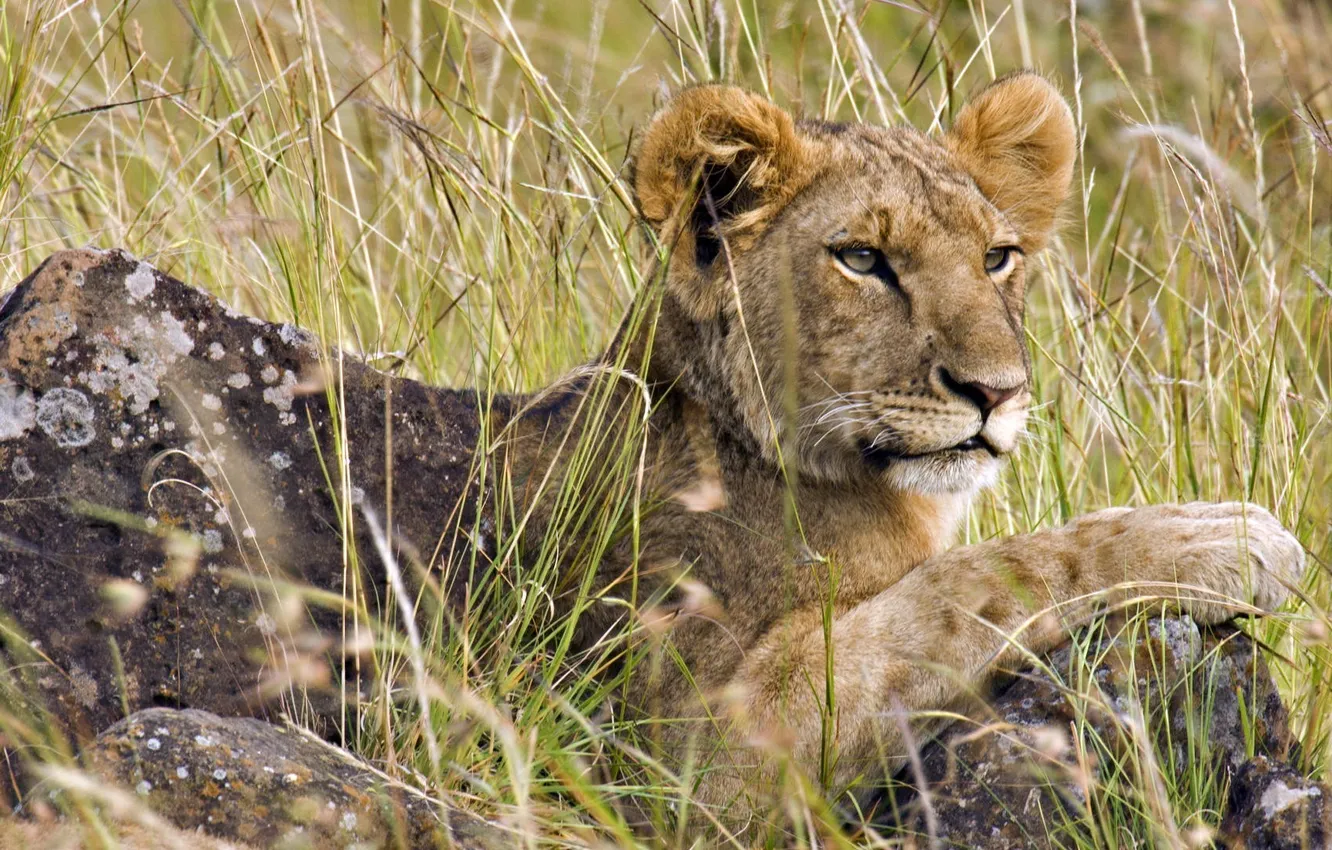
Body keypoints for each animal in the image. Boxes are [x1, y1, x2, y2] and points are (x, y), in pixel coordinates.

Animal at [485, 72, 1307, 834]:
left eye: (996, 257)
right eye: (861, 257)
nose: (996, 390)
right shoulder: (685, 758)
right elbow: (968, 584)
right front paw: (1216, 535)